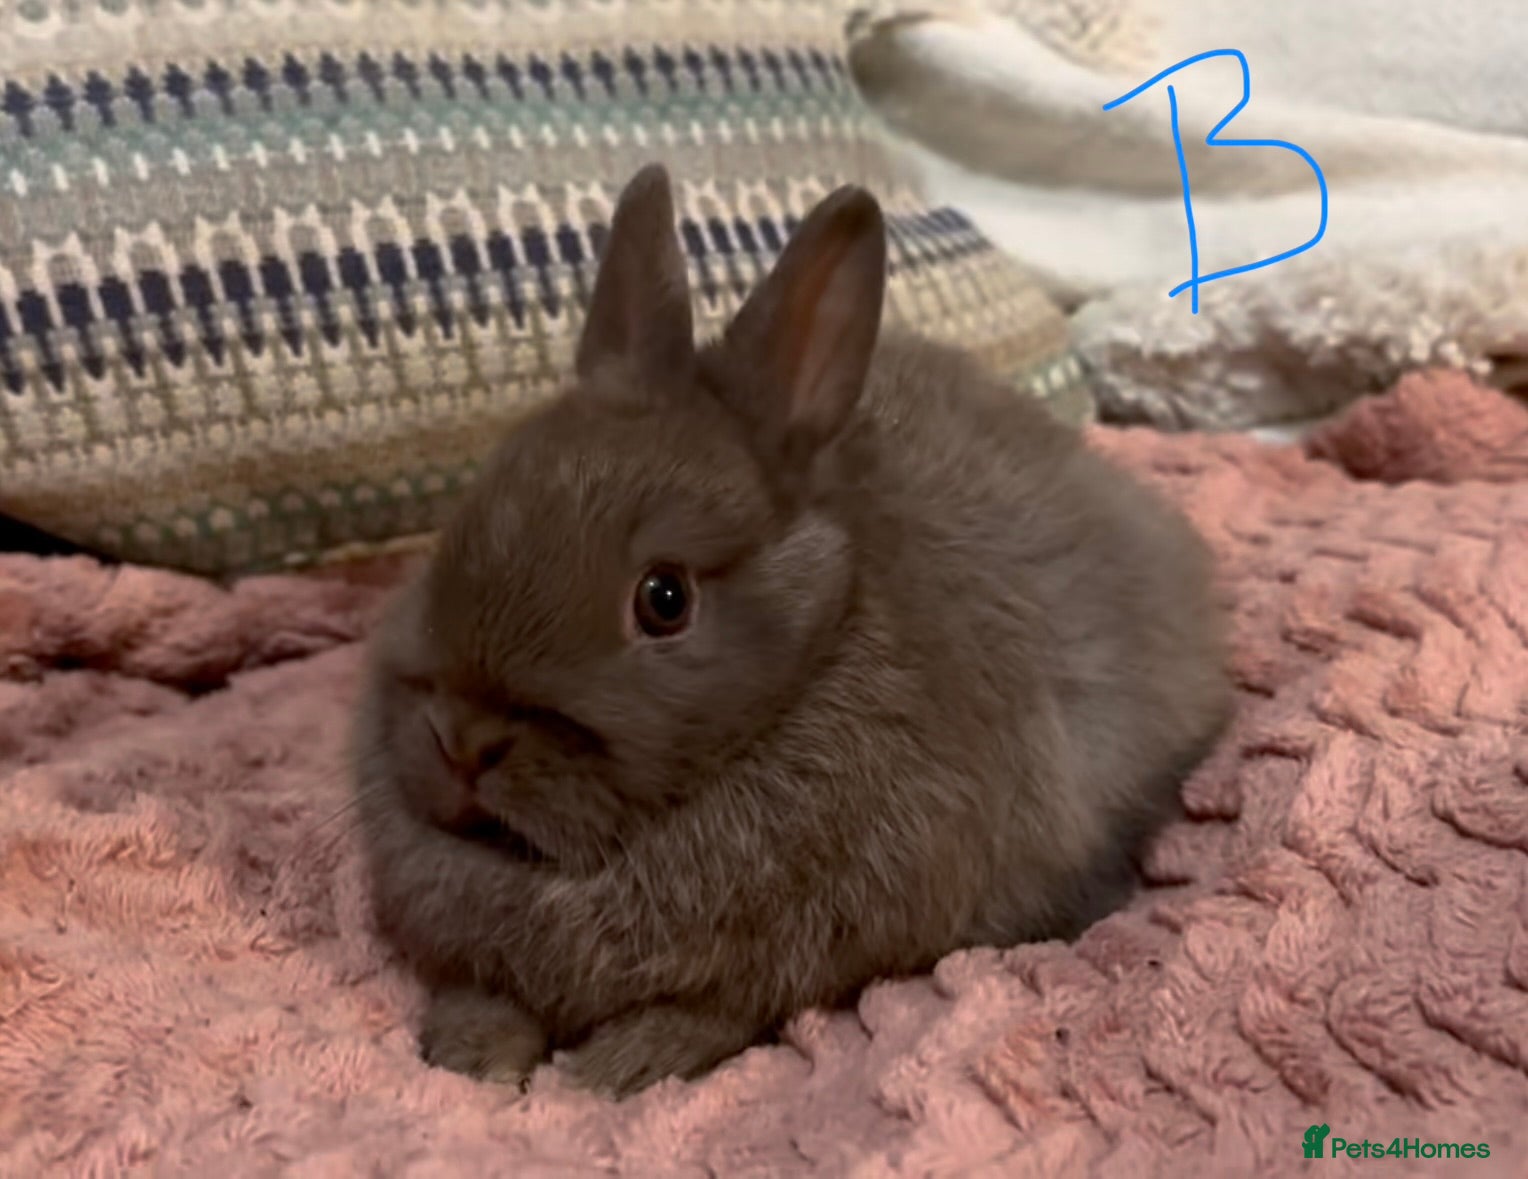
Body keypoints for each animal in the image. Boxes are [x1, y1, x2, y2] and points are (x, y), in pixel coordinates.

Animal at [351, 162, 1234, 1101]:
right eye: (473, 509)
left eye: (665, 598)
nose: (463, 741)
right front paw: (472, 1052)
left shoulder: (800, 957)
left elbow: (719, 1011)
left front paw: (614, 1068)